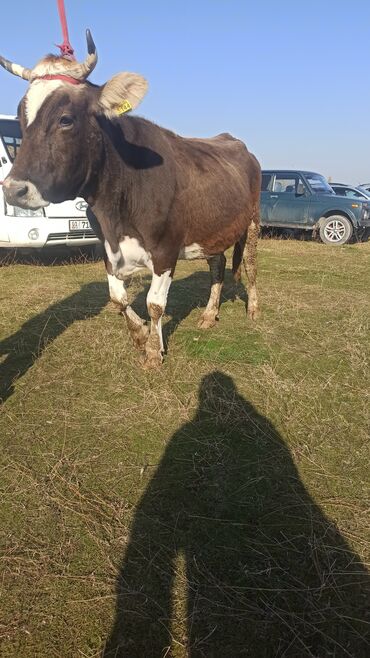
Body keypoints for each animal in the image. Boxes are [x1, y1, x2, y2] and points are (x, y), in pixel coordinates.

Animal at [0, 32, 260, 368]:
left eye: (65, 119)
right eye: (21, 118)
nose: (12, 189)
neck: (116, 209)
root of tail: (231, 139)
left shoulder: (165, 250)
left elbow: (155, 303)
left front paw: (152, 352)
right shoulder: (108, 247)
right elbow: (117, 297)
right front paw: (141, 335)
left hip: (252, 220)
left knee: (250, 265)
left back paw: (253, 309)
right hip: (211, 227)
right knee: (219, 263)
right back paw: (208, 314)